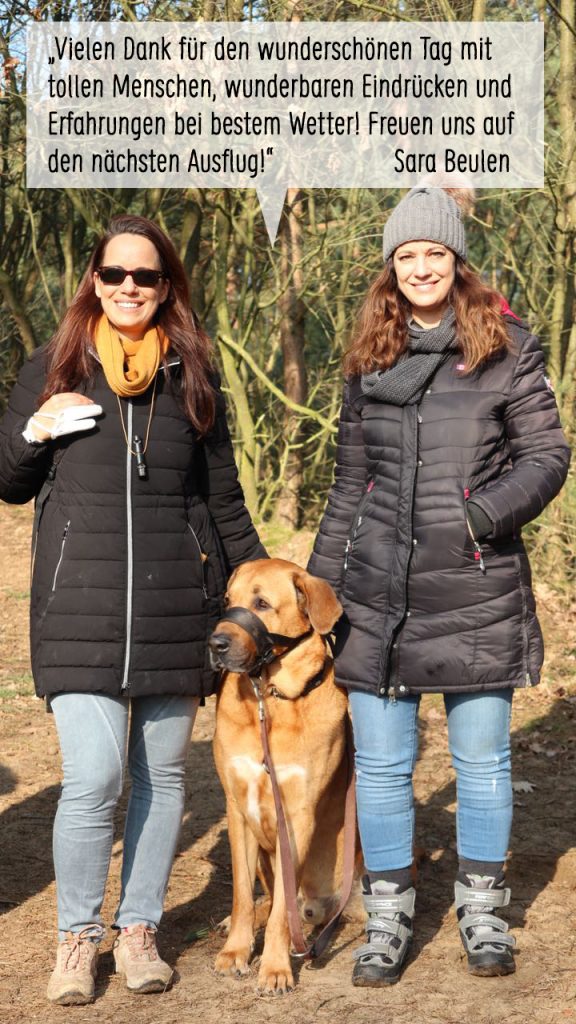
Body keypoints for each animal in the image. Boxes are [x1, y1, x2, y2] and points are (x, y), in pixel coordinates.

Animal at [209, 558, 356, 996]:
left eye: (261, 603)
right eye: (228, 599)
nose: (214, 644)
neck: (269, 701)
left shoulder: (298, 815)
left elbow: (279, 913)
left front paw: (274, 968)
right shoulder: (238, 809)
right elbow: (242, 895)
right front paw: (236, 951)